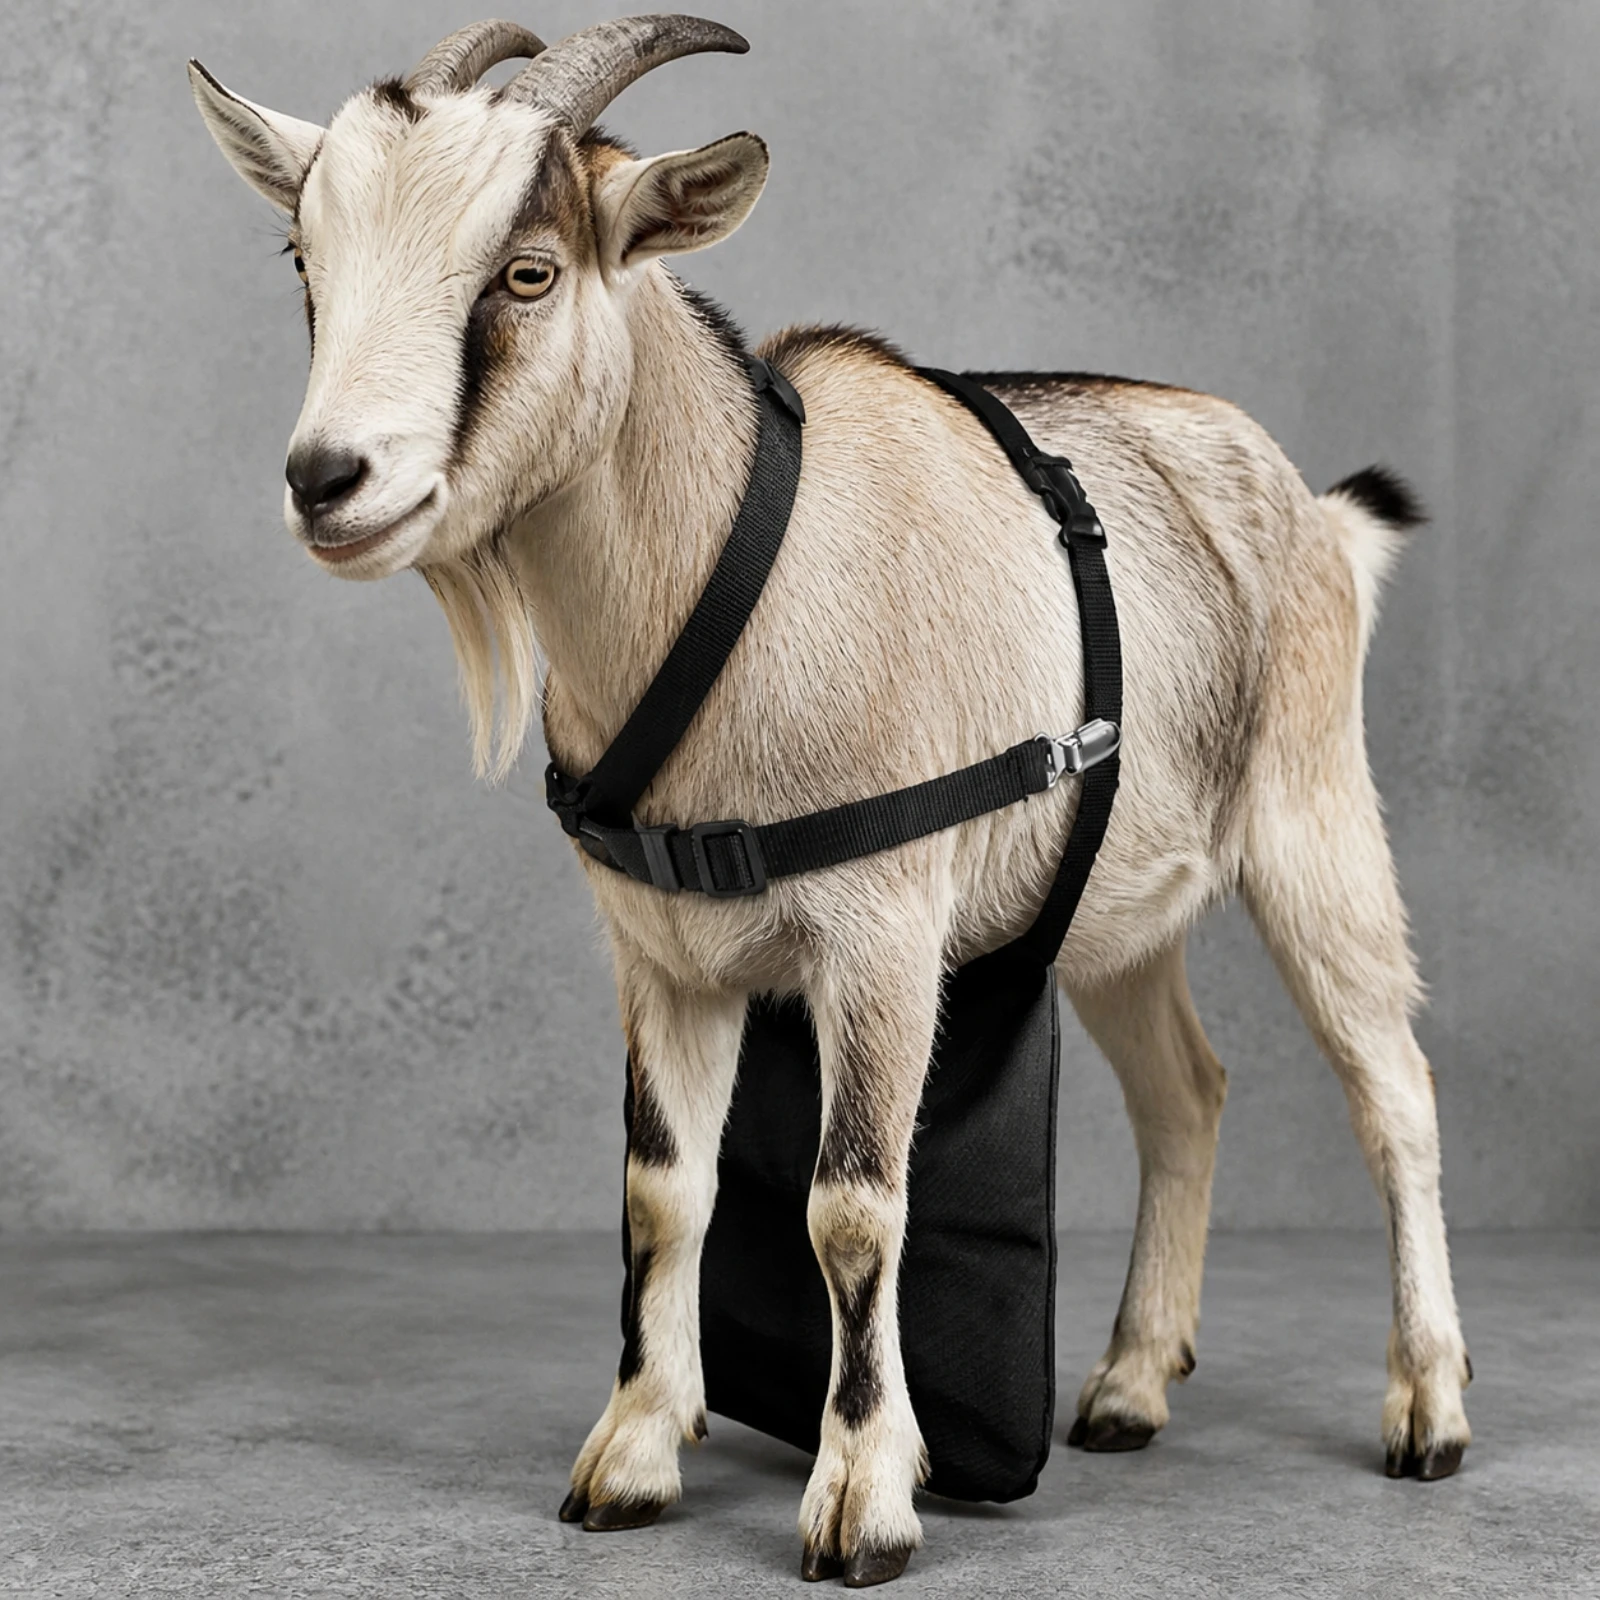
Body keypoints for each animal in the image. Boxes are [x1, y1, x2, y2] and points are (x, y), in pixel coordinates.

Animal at [189, 14, 1472, 1586]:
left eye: (527, 271)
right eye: (305, 259)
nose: (330, 482)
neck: (744, 568)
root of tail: (1313, 512)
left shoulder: (882, 939)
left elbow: (851, 1205)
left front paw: (863, 1496)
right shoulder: (659, 956)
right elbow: (663, 1188)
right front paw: (630, 1456)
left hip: (1313, 823)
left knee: (1392, 1091)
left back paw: (1426, 1412)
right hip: (1114, 918)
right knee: (1187, 1090)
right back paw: (1124, 1388)